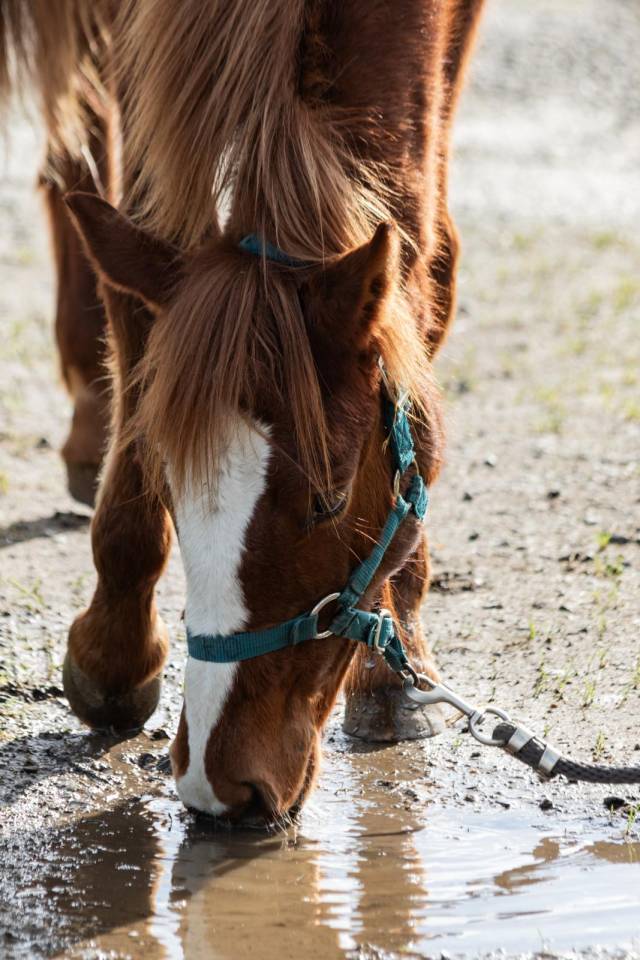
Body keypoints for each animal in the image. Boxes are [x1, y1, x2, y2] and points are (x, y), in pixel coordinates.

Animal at [1, 0, 485, 824]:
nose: (218, 781)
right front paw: (114, 653)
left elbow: (428, 256)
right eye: (167, 481)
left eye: (328, 502)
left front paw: (400, 663)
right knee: (80, 157)